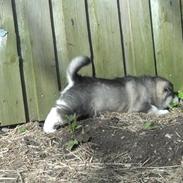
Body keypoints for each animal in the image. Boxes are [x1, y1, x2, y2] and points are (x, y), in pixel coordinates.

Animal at [43, 55, 174, 133]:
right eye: (173, 94)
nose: (177, 98)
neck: (150, 88)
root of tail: (76, 80)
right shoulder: (141, 105)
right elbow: (153, 108)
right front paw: (163, 111)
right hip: (73, 105)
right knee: (56, 112)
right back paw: (48, 128)